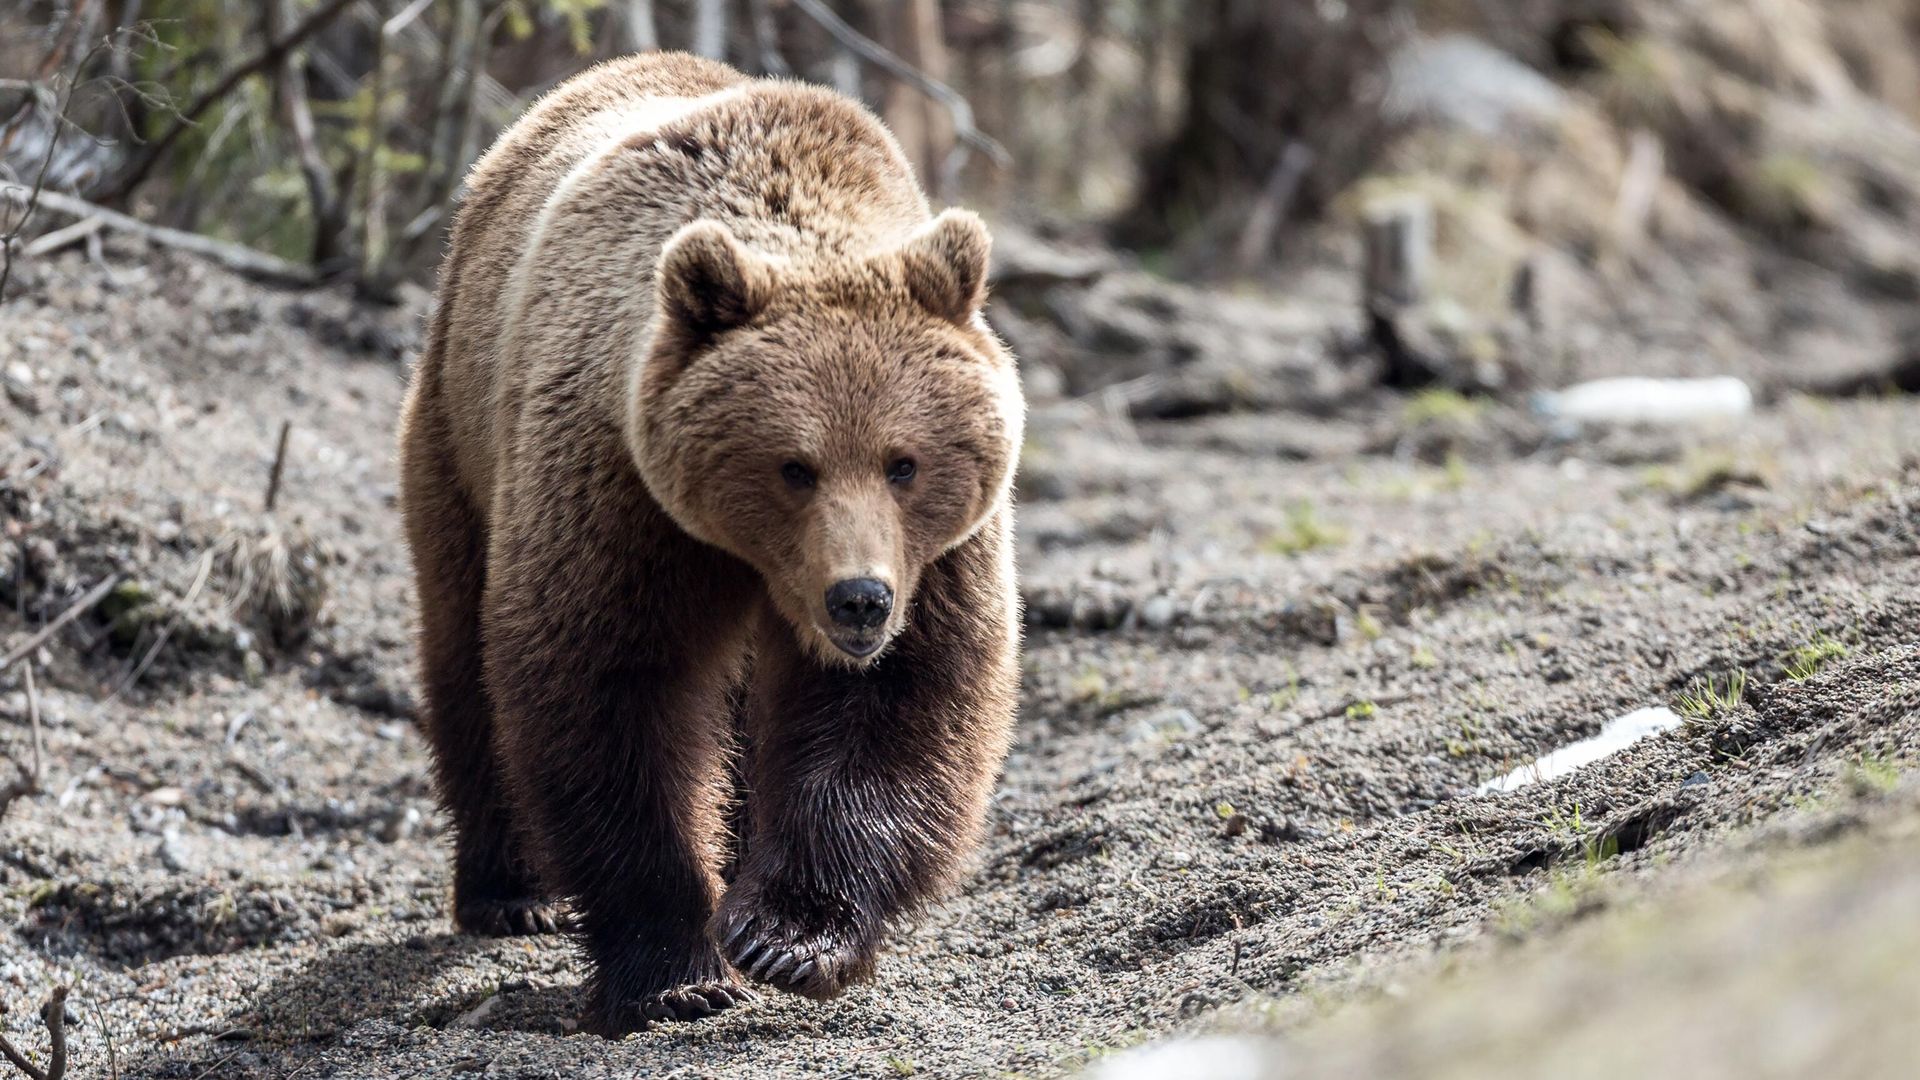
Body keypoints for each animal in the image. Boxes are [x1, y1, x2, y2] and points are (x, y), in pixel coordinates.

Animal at [396, 51, 1023, 1036]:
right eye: (794, 465)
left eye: (904, 462)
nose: (859, 600)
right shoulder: (619, 495)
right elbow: (611, 691)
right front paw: (674, 971)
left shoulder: (941, 558)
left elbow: (900, 699)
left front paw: (787, 935)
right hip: (459, 440)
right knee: (464, 651)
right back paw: (511, 891)